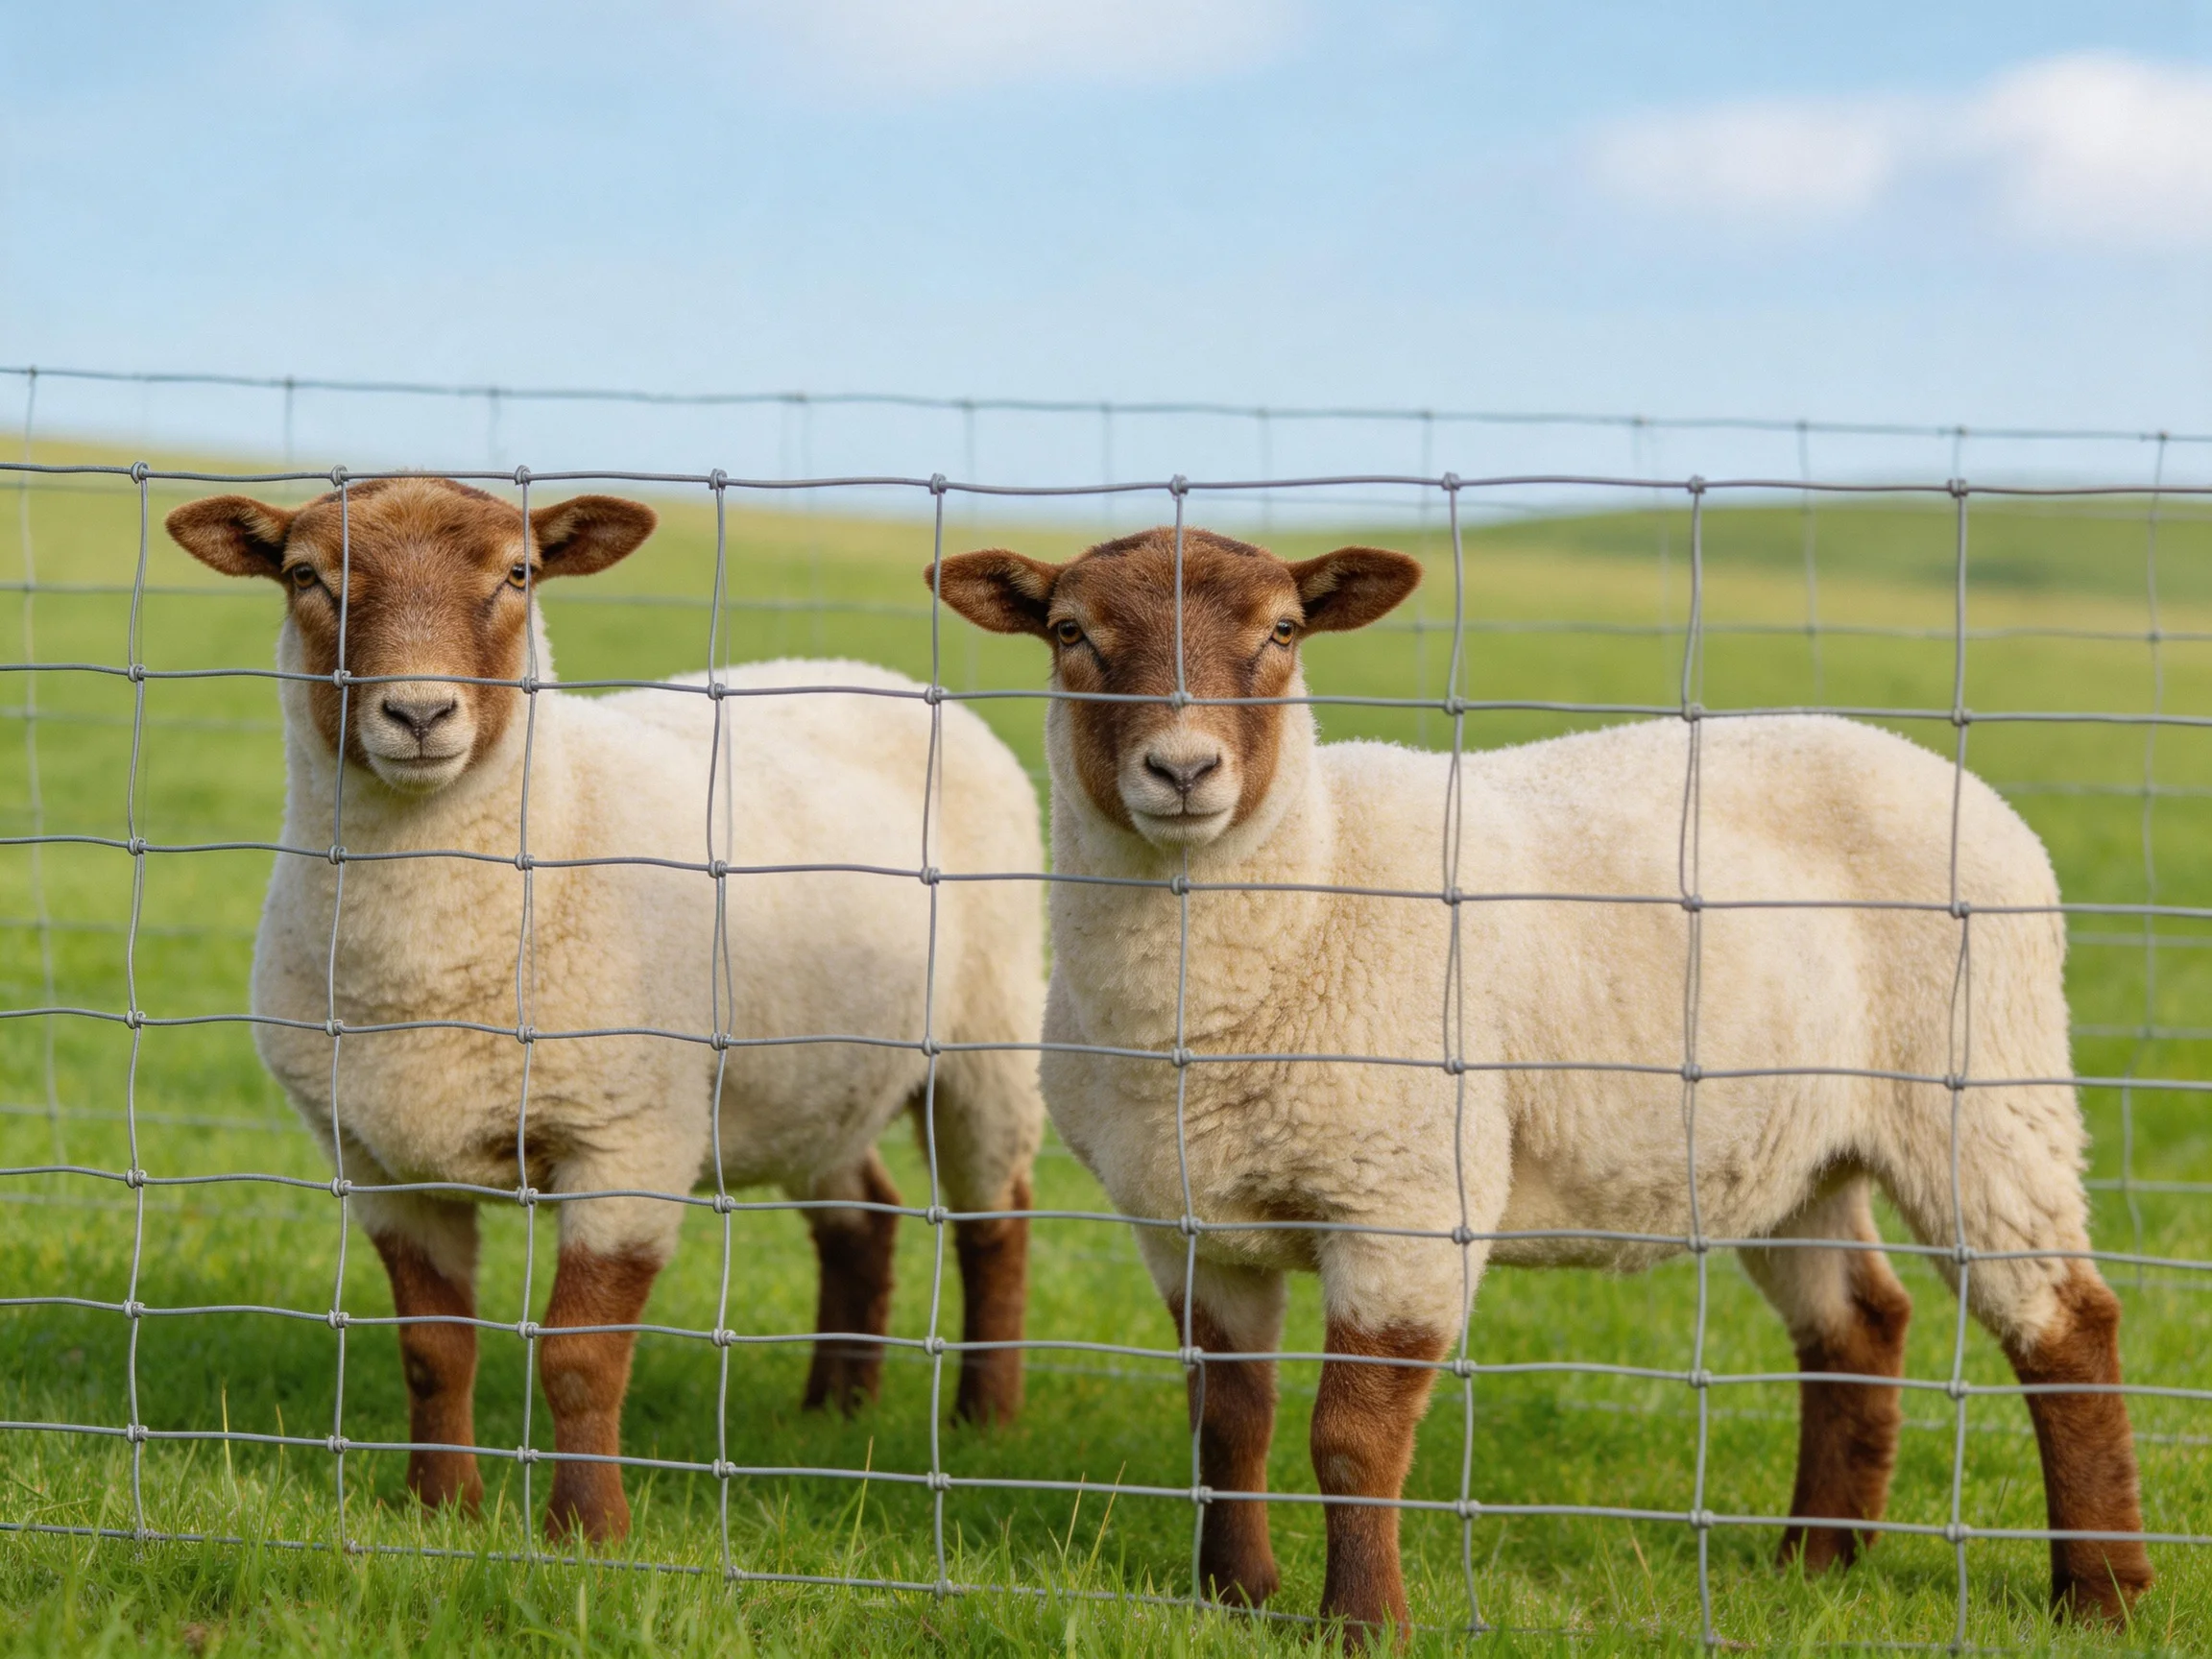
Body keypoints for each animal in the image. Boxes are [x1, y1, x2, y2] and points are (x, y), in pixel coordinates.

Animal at [165, 477, 1045, 1545]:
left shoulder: (629, 1139)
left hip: (990, 1034)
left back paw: (985, 1420)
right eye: (305, 575)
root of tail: (868, 671)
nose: (418, 711)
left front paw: (587, 1532)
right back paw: (835, 1408)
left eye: (518, 573)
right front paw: (440, 1509)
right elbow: (433, 1349)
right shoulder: (377, 1161)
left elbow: (579, 1358)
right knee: (864, 1217)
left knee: (996, 1223)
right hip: (813, 1074)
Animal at [931, 525, 2152, 1640]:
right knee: (1859, 1323)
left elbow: (1350, 1439)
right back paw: (1817, 1563)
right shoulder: (1186, 1223)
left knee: (2065, 1322)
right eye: (1072, 632)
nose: (1183, 771)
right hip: (1791, 1149)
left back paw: (2100, 1594)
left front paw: (1363, 1624)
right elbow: (1229, 1419)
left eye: (1281, 632)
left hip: (1986, 1088)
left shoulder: (1408, 1199)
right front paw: (1236, 1597)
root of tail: (1939, 769)